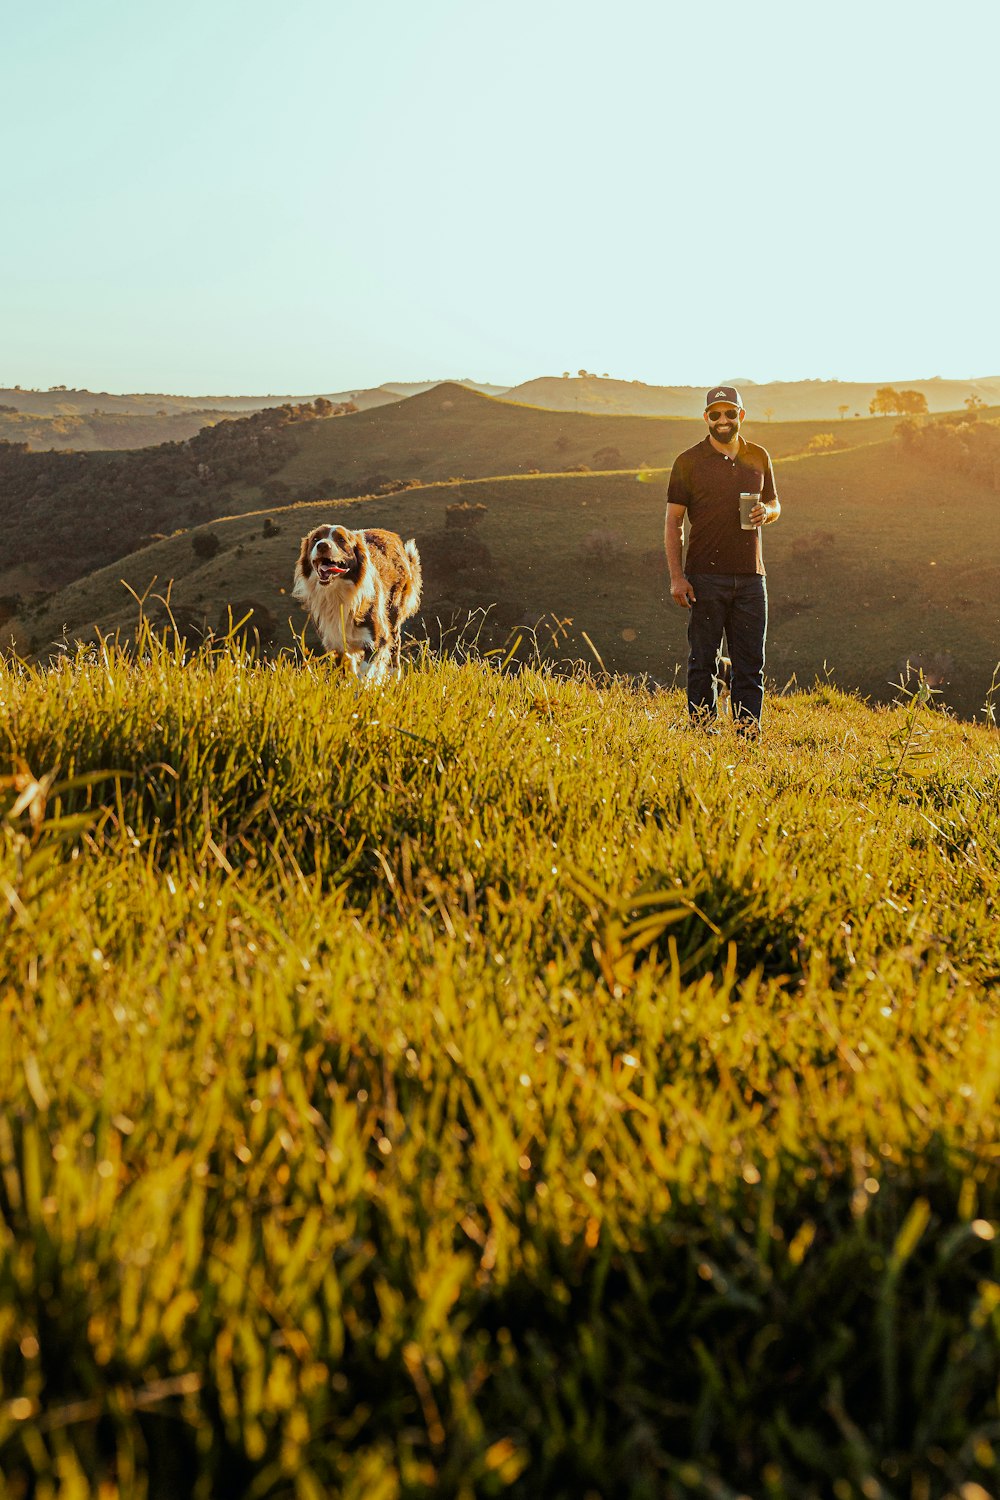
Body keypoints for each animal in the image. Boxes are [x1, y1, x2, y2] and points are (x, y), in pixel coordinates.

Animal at [295, 519, 425, 678]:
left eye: (341, 539)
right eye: (315, 538)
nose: (322, 545)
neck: (337, 594)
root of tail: (393, 535)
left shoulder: (378, 638)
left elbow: (364, 673)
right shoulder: (337, 644)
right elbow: (348, 674)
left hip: (393, 615)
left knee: (394, 651)